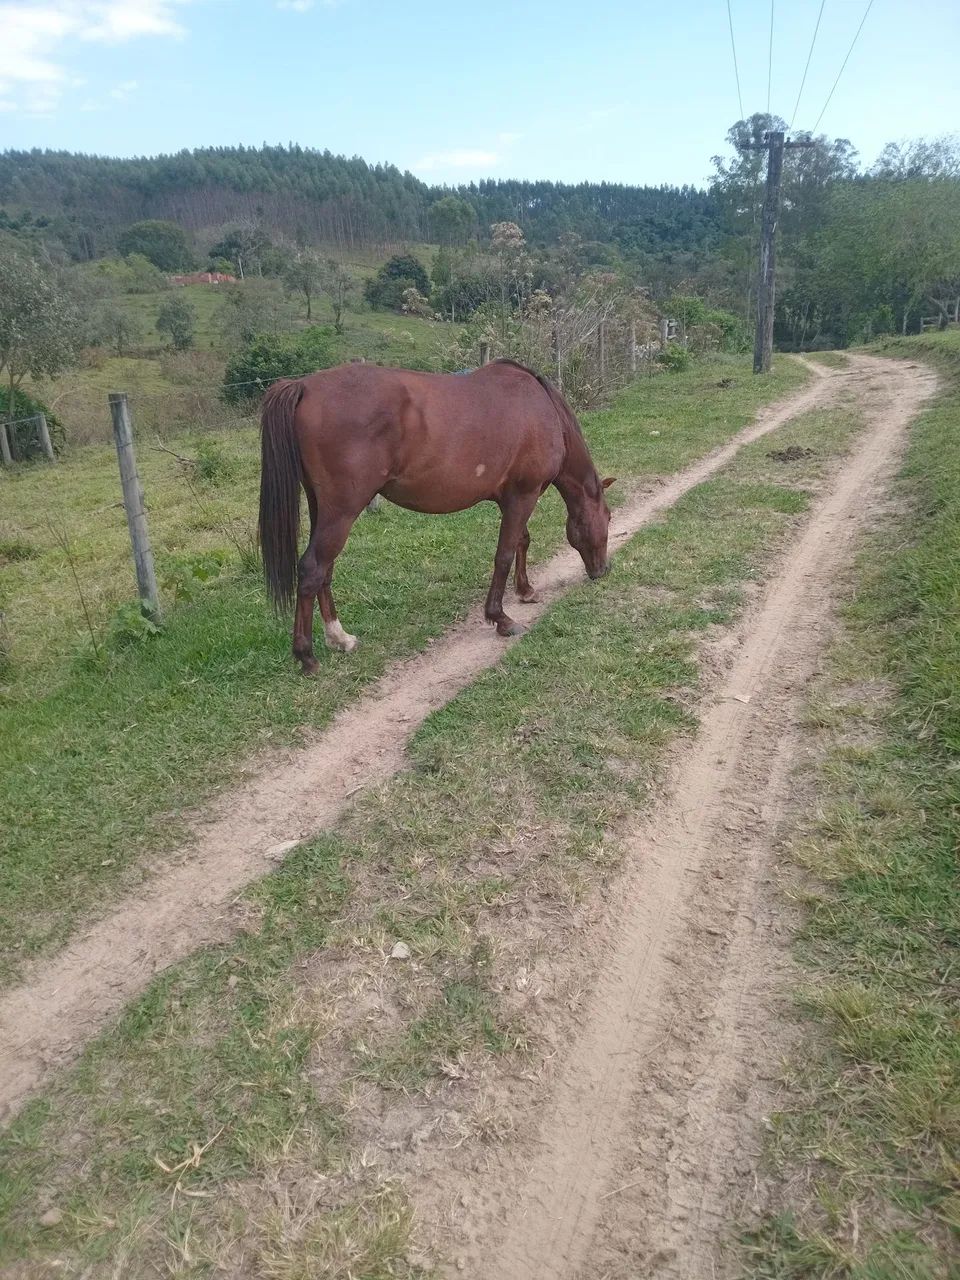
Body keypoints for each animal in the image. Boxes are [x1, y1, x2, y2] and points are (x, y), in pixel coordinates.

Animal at [258, 359, 615, 675]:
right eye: (608, 517)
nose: (603, 570)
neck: (543, 409)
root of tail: (305, 386)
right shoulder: (523, 497)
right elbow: (504, 555)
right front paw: (501, 618)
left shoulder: (513, 499)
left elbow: (521, 542)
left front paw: (525, 590)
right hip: (342, 513)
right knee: (312, 568)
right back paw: (306, 656)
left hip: (324, 510)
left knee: (324, 571)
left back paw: (340, 638)